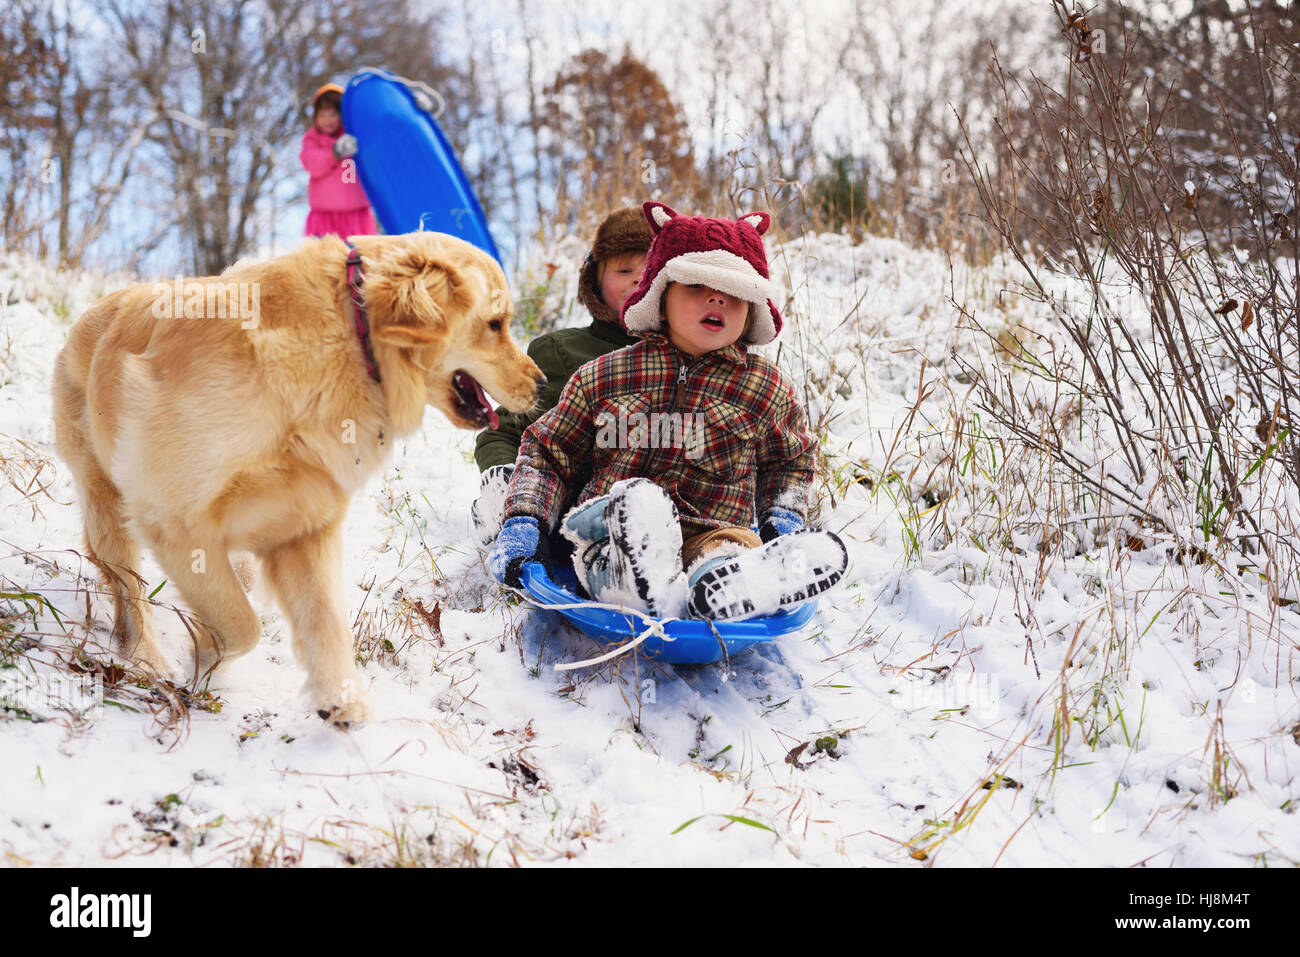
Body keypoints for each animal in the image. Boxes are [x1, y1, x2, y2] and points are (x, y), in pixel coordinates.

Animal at [54, 231, 543, 722]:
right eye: (495, 323)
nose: (540, 385)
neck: (348, 342)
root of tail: (97, 309)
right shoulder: (173, 518)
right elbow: (241, 624)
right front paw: (207, 653)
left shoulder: (305, 522)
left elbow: (325, 621)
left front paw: (338, 699)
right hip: (108, 503)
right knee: (130, 591)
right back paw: (145, 656)